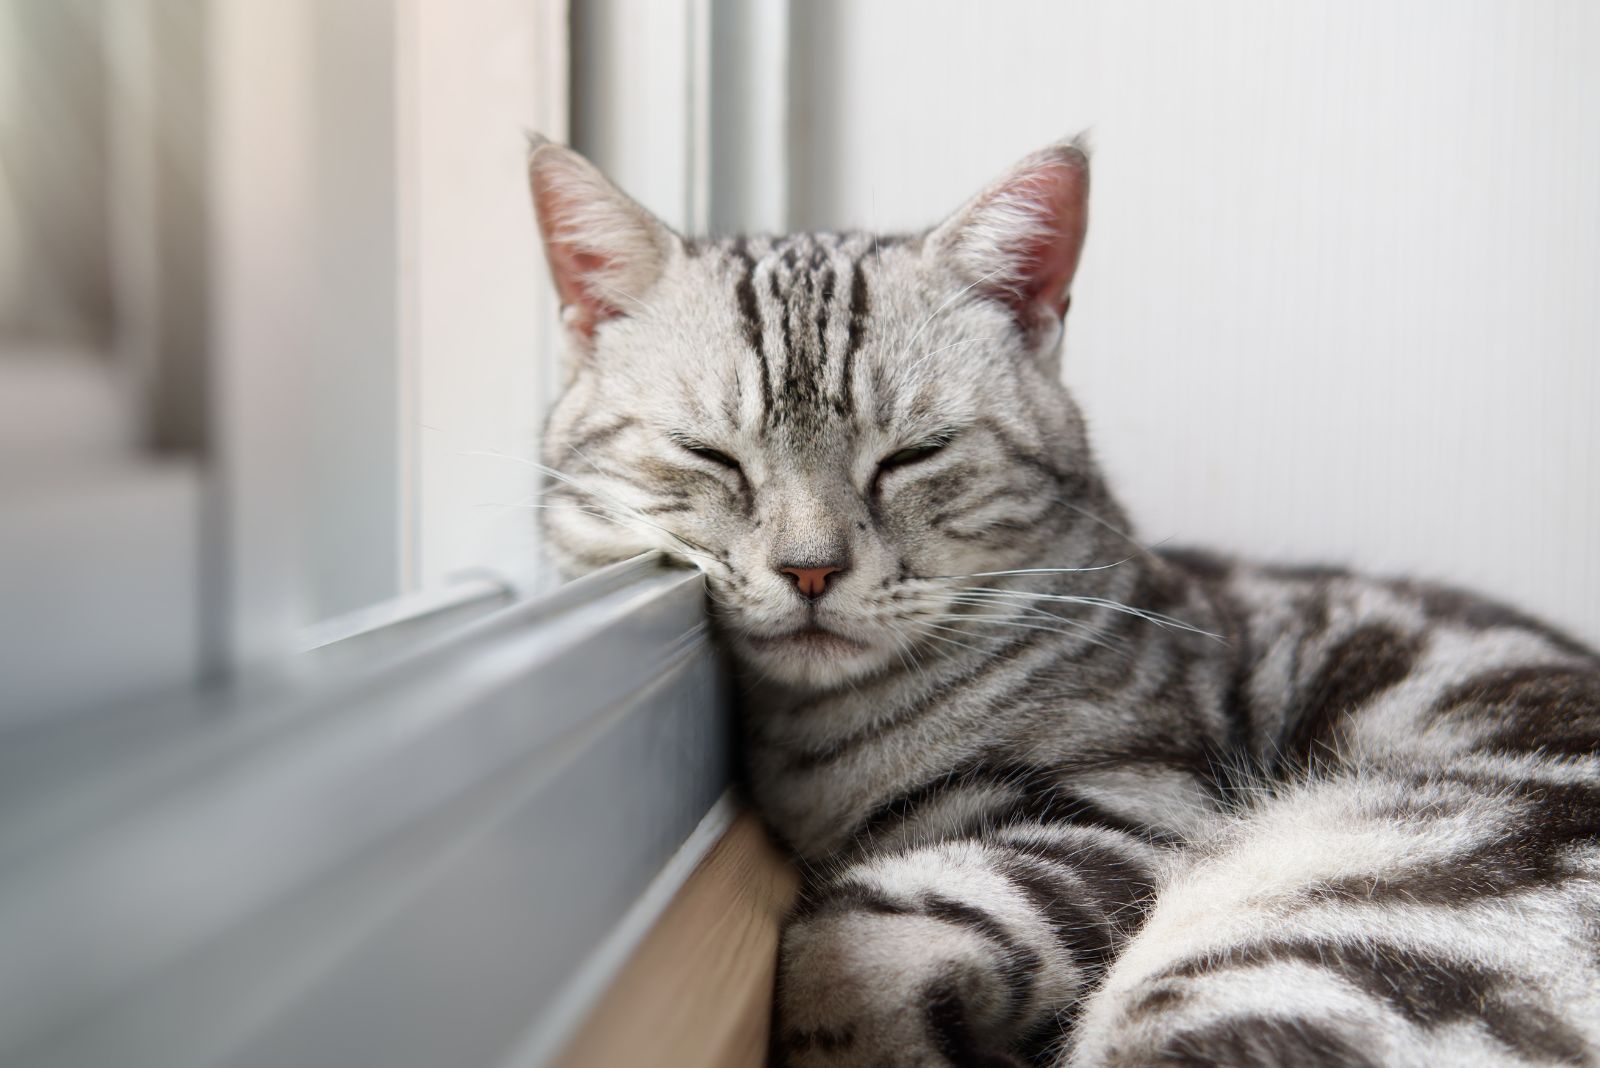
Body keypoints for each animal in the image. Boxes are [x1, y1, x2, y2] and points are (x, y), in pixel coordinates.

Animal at [528, 135, 1600, 1068]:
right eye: (709, 455)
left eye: (913, 455)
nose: (811, 570)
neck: (818, 750)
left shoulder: (1125, 812)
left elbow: (849, 936)